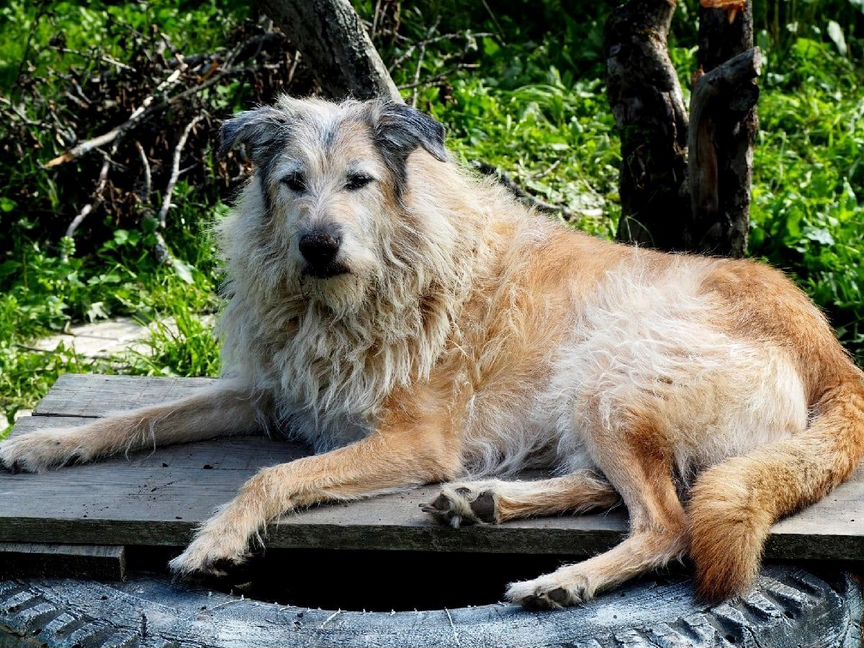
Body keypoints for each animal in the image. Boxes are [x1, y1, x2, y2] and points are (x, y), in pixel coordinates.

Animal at [1, 96, 864, 608]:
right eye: (291, 182)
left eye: (357, 181)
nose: (319, 245)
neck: (350, 298)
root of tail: (831, 352)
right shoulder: (265, 394)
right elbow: (142, 415)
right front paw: (45, 444)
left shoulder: (417, 441)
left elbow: (272, 475)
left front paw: (215, 541)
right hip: (591, 400)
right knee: (608, 490)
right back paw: (484, 502)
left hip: (612, 374)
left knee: (669, 524)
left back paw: (560, 580)